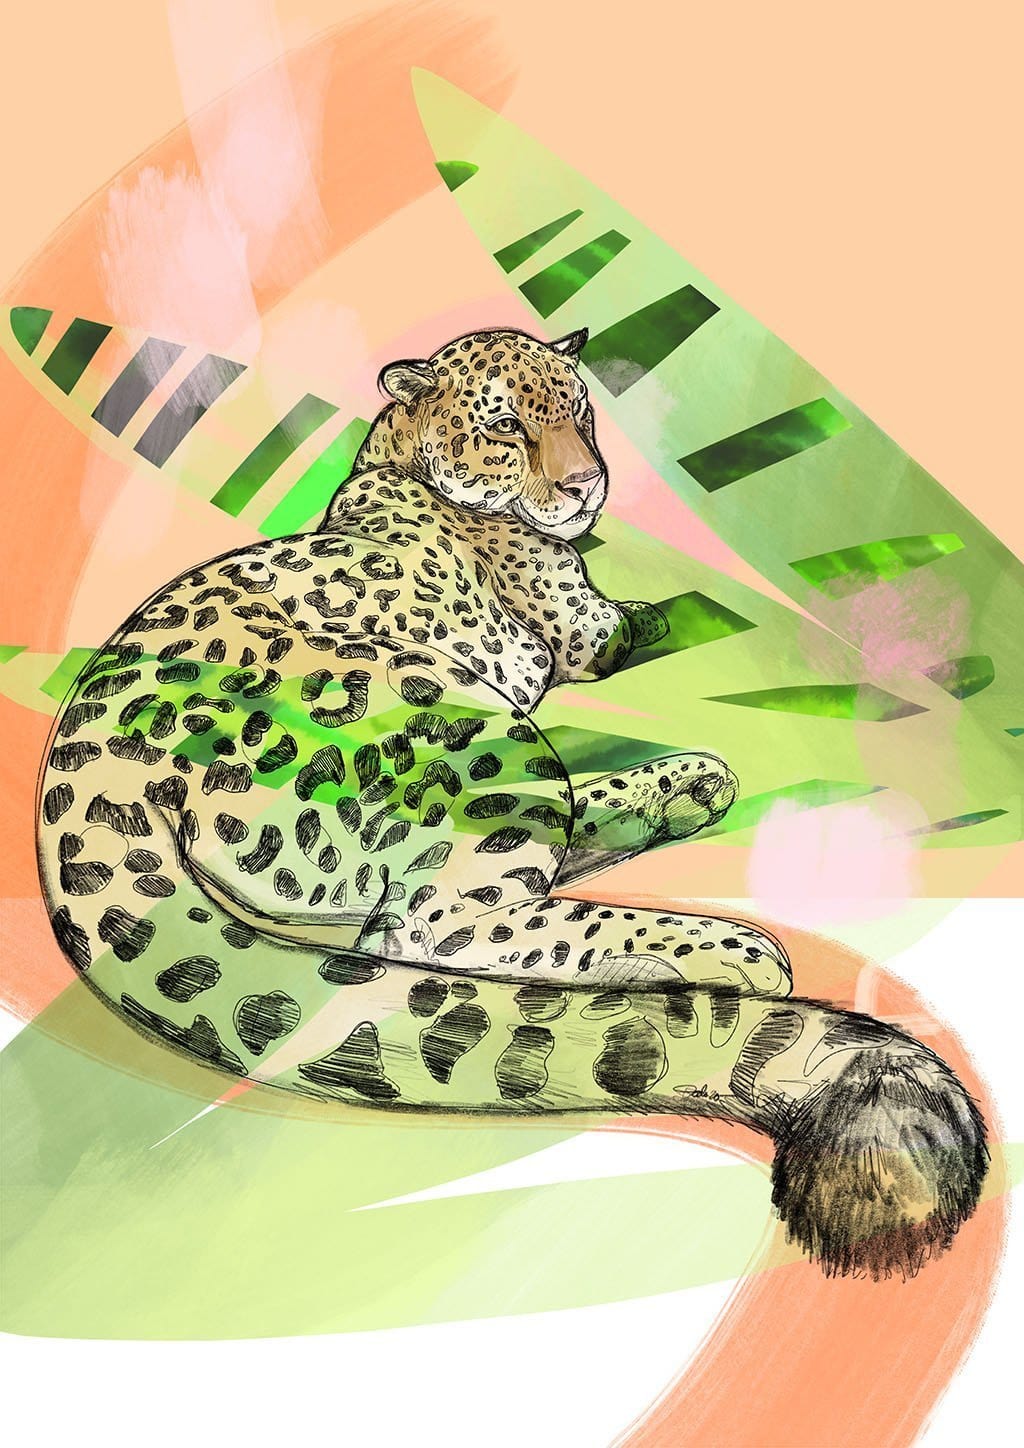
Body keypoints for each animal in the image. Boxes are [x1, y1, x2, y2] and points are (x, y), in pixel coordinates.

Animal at [36, 325, 986, 1278]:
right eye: (504, 427)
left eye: (579, 412)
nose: (584, 485)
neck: (391, 455)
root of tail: (91, 771)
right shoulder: (589, 630)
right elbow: (660, 615)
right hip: (459, 724)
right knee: (439, 928)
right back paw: (720, 945)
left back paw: (687, 790)